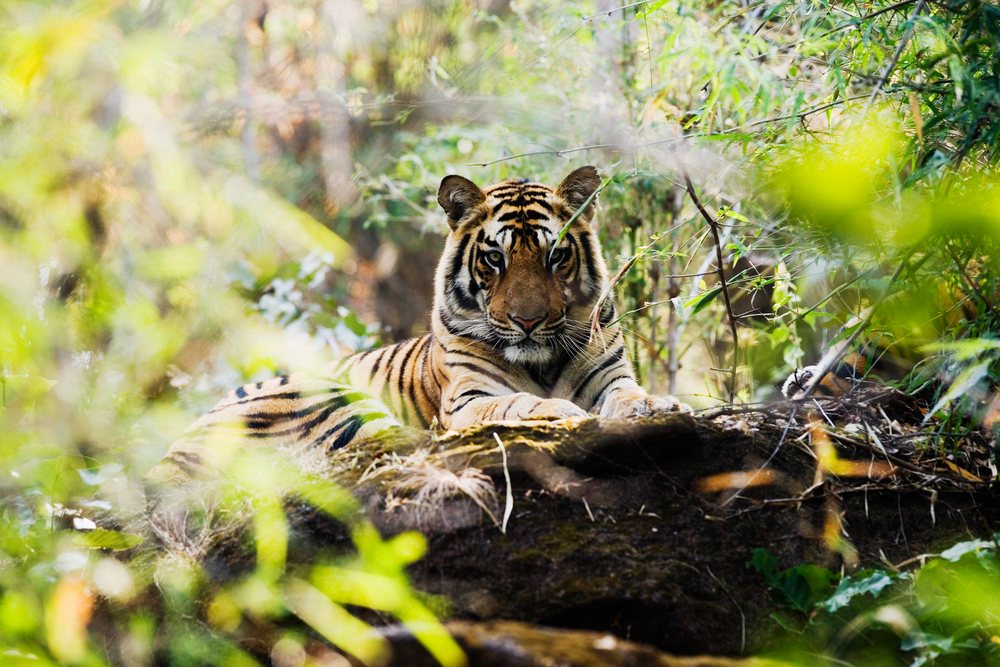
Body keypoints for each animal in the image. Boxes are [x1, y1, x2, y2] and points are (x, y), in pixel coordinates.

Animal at [149, 166, 689, 484]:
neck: (541, 361)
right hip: (322, 397)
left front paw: (659, 405)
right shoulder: (468, 398)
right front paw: (556, 412)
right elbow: (514, 402)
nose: (528, 321)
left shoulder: (609, 376)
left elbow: (630, 395)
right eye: (494, 258)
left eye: (555, 256)